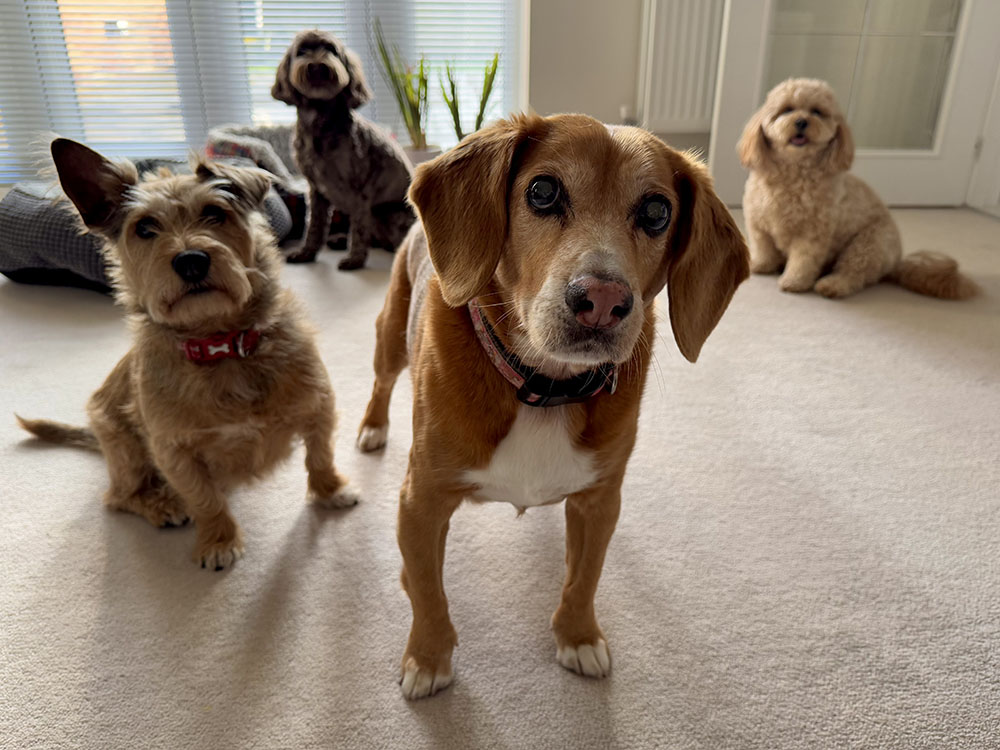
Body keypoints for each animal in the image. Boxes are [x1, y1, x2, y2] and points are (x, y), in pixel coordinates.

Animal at [17, 139, 358, 570]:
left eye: (214, 213)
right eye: (144, 228)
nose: (191, 260)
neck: (221, 343)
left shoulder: (319, 407)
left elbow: (321, 456)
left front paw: (332, 491)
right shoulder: (173, 450)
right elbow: (204, 498)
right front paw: (219, 540)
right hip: (125, 449)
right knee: (118, 497)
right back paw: (162, 504)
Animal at [272, 29, 415, 269]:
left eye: (331, 50)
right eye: (302, 51)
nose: (317, 66)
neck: (319, 122)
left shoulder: (359, 190)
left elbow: (358, 227)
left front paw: (355, 258)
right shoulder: (316, 189)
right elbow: (315, 226)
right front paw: (306, 252)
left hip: (388, 213)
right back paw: (339, 239)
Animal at [356, 114, 750, 698]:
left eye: (657, 212)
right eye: (542, 191)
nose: (603, 301)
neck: (543, 384)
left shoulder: (598, 503)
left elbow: (583, 579)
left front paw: (578, 635)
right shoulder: (420, 502)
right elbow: (427, 591)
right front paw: (427, 655)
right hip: (388, 339)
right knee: (381, 383)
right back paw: (372, 428)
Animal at [739, 78, 977, 299]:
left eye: (817, 111)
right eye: (787, 109)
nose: (801, 121)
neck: (792, 173)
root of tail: (896, 264)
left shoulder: (812, 235)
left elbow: (802, 260)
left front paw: (794, 282)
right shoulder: (758, 225)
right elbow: (764, 249)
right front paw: (760, 265)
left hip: (868, 244)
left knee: (853, 274)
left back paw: (832, 285)